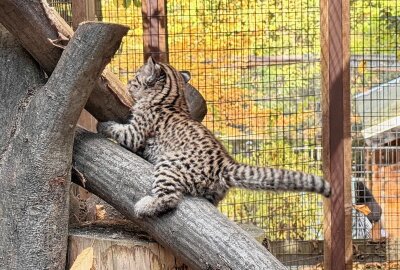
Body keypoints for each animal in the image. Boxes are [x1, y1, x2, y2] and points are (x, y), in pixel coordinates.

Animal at [97, 57, 332, 217]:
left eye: (136, 77)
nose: (129, 82)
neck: (173, 96)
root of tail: (226, 163)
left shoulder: (136, 132)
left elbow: (120, 131)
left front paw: (103, 126)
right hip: (211, 192)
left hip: (168, 164)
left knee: (169, 198)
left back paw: (144, 206)